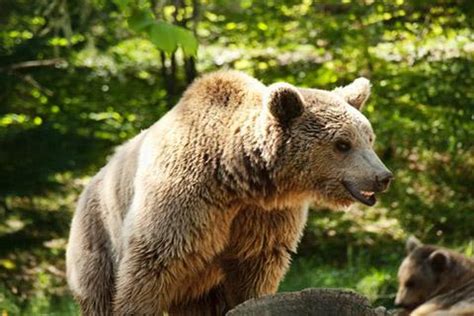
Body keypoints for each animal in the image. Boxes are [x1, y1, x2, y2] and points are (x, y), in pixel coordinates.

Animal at [65, 70, 392, 314]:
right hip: (97, 237)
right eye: (342, 144)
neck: (237, 177)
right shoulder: (184, 201)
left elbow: (256, 268)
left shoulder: (264, 216)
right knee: (98, 294)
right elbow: (151, 265)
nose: (382, 177)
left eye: (369, 139)